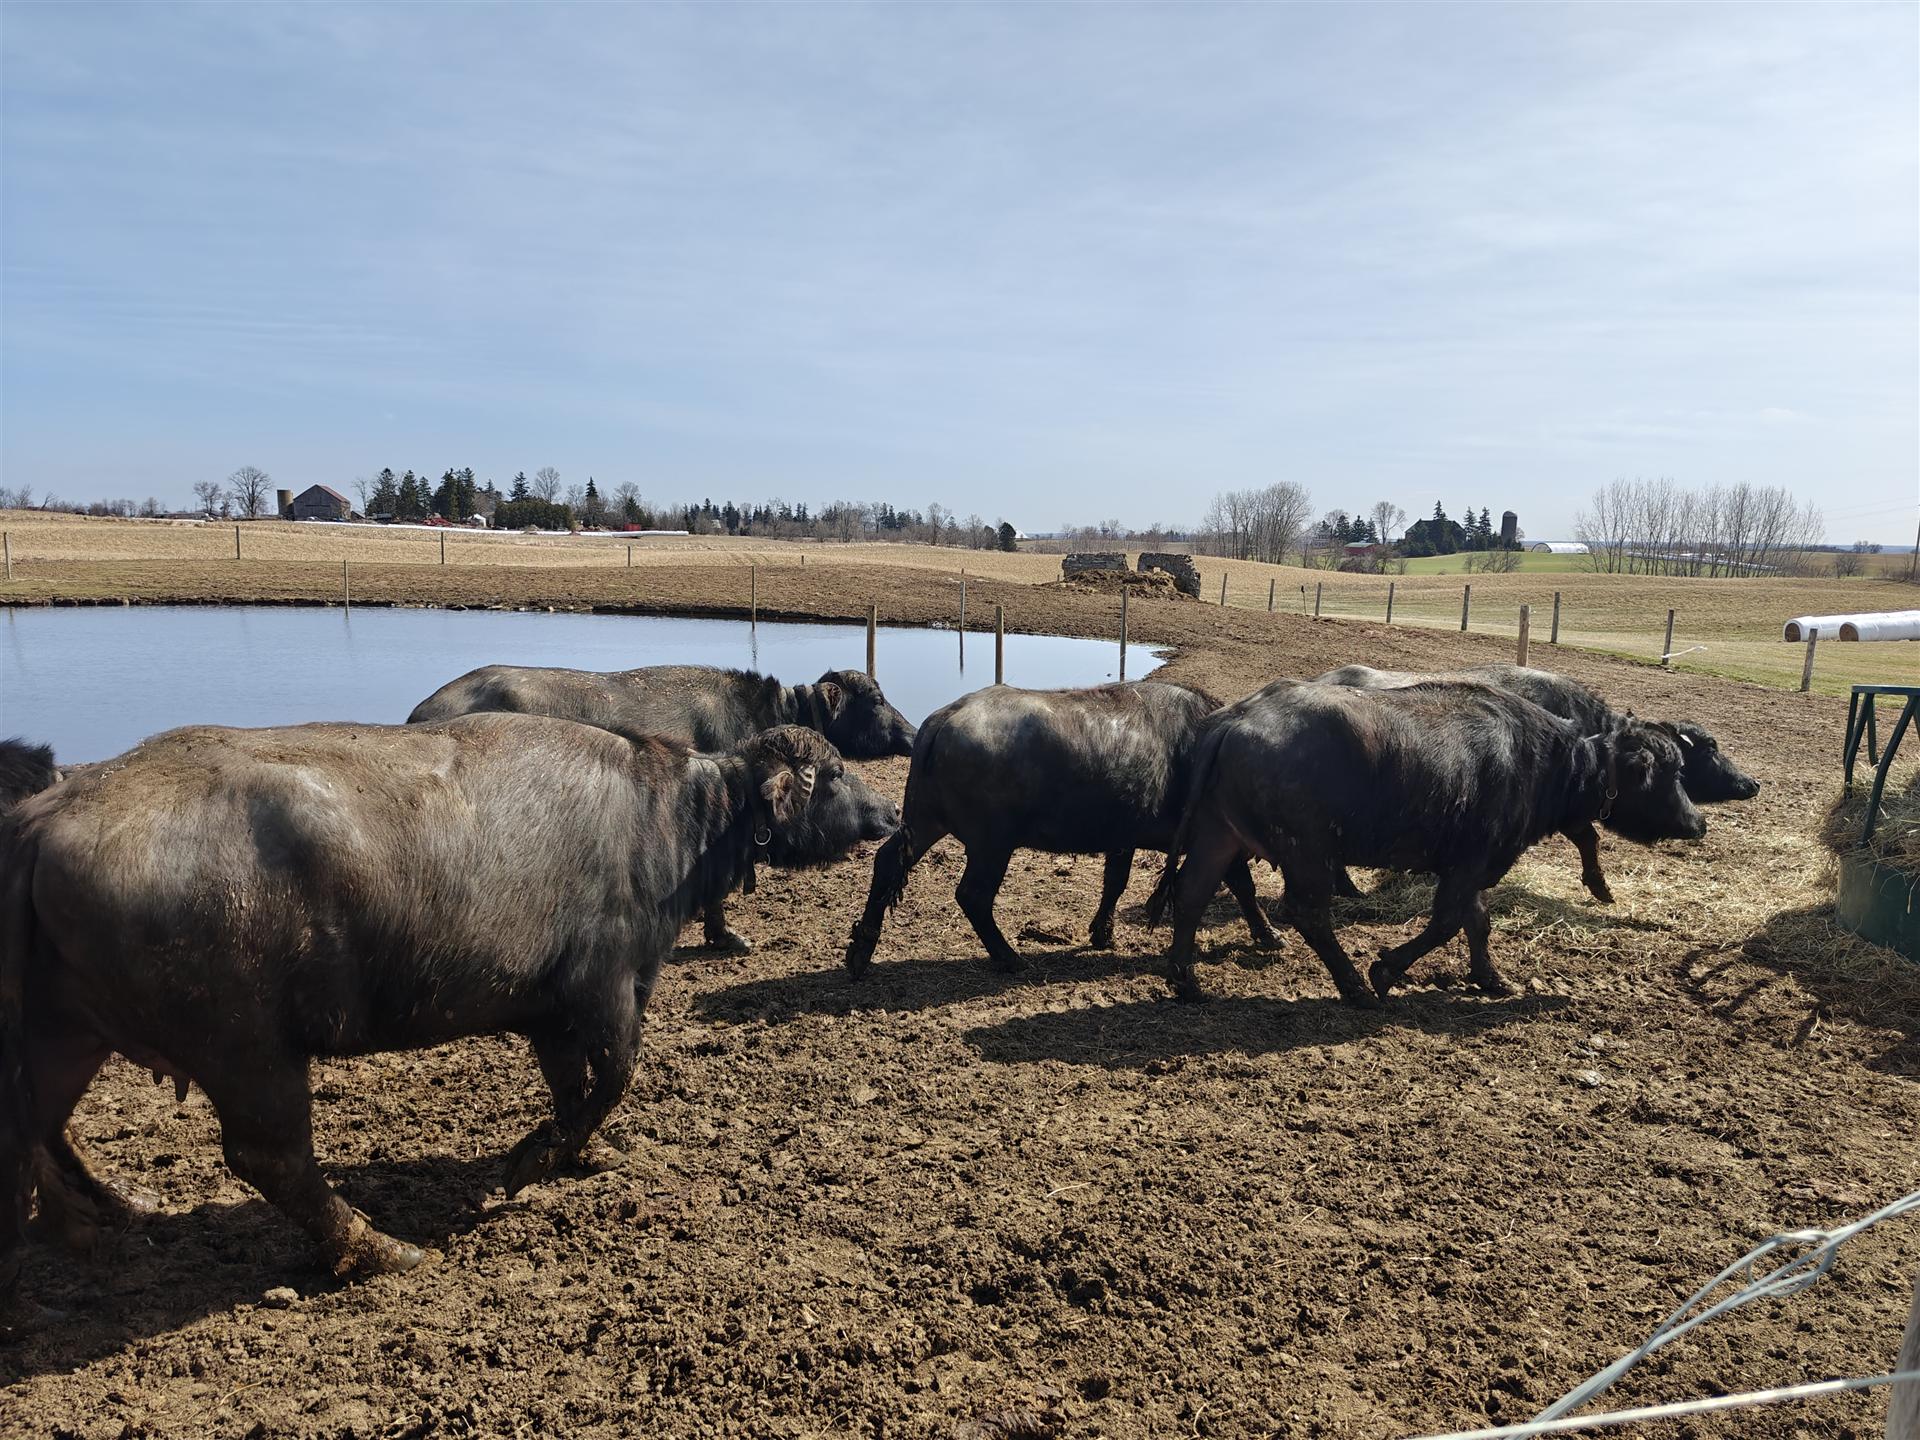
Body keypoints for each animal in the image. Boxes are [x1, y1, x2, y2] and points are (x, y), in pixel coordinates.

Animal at [1, 717, 890, 1338]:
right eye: (835, 774)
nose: (884, 809)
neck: (673, 820)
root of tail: (45, 816)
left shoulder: (551, 1011)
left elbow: (573, 1085)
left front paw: (581, 1153)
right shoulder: (605, 989)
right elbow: (613, 1076)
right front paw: (530, 1161)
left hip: (64, 1032)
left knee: (36, 1128)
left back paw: (100, 1214)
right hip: (246, 1047)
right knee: (270, 1158)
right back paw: (379, 1249)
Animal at [845, 681, 1277, 976]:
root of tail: (941, 720)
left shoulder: (1122, 840)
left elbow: (1114, 884)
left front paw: (1102, 933)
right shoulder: (1216, 840)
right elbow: (1243, 886)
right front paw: (1269, 934)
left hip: (925, 821)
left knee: (888, 861)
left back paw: (861, 949)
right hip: (991, 843)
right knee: (973, 895)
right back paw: (1008, 956)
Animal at [1149, 679, 1706, 1006]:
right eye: (1671, 771)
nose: (1698, 823)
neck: (1546, 762)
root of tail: (1235, 718)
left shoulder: (1471, 867)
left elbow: (1477, 922)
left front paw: (1491, 978)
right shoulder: (1471, 862)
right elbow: (1445, 923)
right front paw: (1384, 969)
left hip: (1219, 834)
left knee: (1193, 892)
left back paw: (1185, 979)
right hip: (1307, 852)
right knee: (1307, 913)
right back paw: (1353, 985)